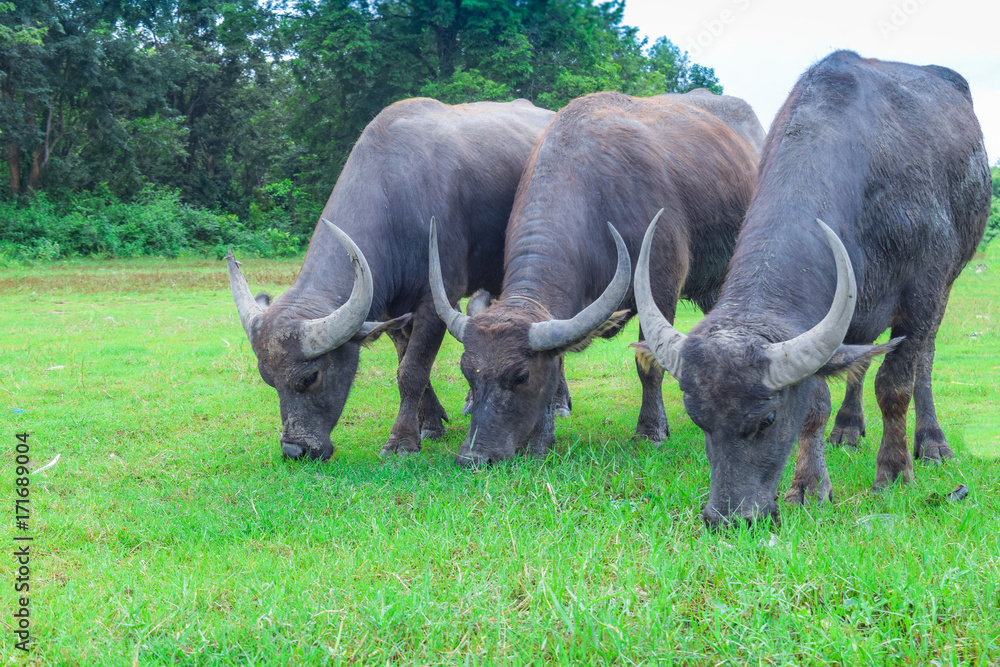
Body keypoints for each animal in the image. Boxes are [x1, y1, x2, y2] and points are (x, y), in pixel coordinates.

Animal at [228, 97, 553, 460]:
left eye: (310, 377)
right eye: (268, 378)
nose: (295, 449)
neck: (396, 197)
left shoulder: (437, 299)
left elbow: (411, 371)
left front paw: (401, 441)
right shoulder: (392, 311)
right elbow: (405, 361)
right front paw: (430, 422)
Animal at [430, 90, 764, 466]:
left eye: (521, 376)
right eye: (467, 373)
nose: (473, 457)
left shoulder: (660, 289)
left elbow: (648, 362)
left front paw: (651, 430)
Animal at [635, 51, 991, 528]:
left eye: (767, 419)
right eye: (698, 420)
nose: (726, 517)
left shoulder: (923, 290)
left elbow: (895, 385)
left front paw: (894, 471)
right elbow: (818, 400)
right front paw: (809, 485)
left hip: (946, 285)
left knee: (925, 359)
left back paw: (931, 440)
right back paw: (848, 428)